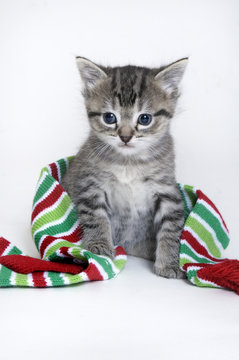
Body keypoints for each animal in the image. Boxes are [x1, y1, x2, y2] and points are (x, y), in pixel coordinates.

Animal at [60, 57, 188, 278]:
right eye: (109, 117)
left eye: (145, 119)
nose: (125, 137)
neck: (130, 162)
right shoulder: (90, 185)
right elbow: (96, 216)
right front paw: (99, 245)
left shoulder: (168, 192)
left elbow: (171, 229)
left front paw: (168, 263)